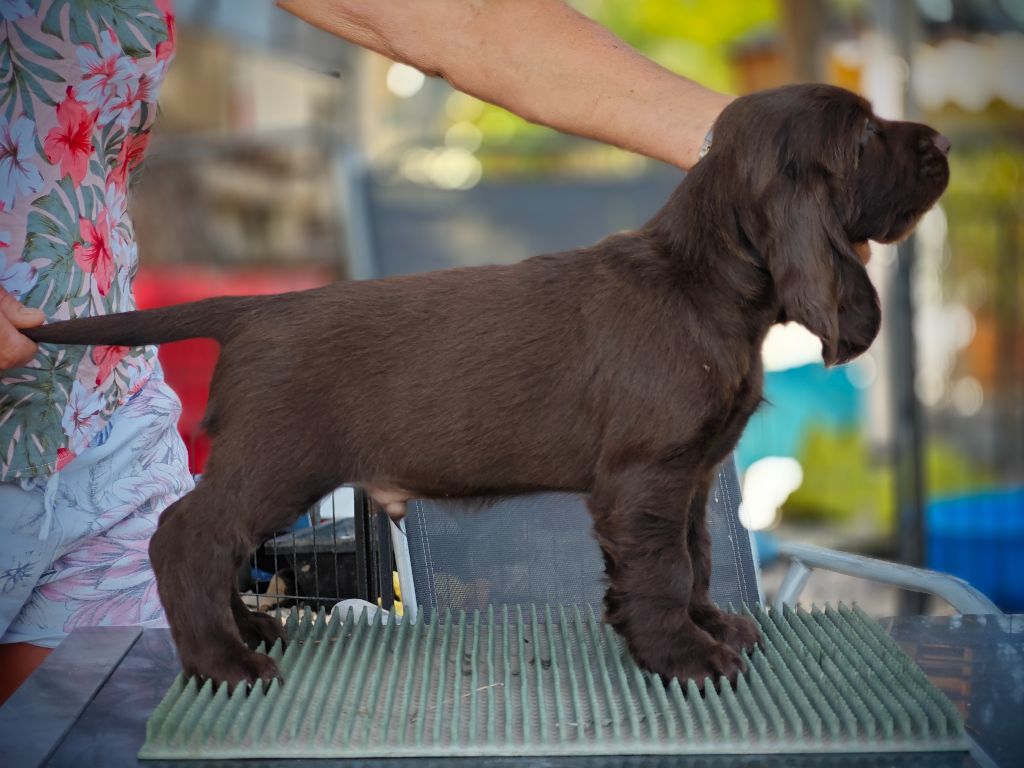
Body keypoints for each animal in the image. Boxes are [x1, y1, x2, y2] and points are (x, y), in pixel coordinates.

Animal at [25, 82, 950, 684]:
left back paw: (248, 622)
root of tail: (254, 308)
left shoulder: (688, 478)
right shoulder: (645, 478)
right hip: (277, 462)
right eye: (863, 137)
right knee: (188, 536)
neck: (701, 280)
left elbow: (695, 559)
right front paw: (683, 656)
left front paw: (709, 624)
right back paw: (225, 658)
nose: (941, 142)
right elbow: (660, 573)